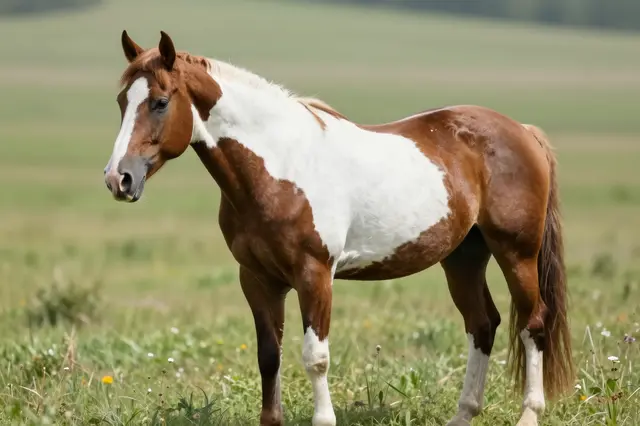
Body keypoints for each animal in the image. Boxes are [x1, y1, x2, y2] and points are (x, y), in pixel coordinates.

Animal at [103, 30, 574, 426]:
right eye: (122, 101)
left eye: (160, 101)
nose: (117, 179)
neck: (279, 165)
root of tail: (522, 131)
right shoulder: (257, 279)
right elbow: (268, 356)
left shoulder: (315, 276)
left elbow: (316, 357)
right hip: (463, 257)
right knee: (483, 324)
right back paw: (463, 415)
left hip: (517, 252)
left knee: (532, 324)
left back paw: (529, 414)